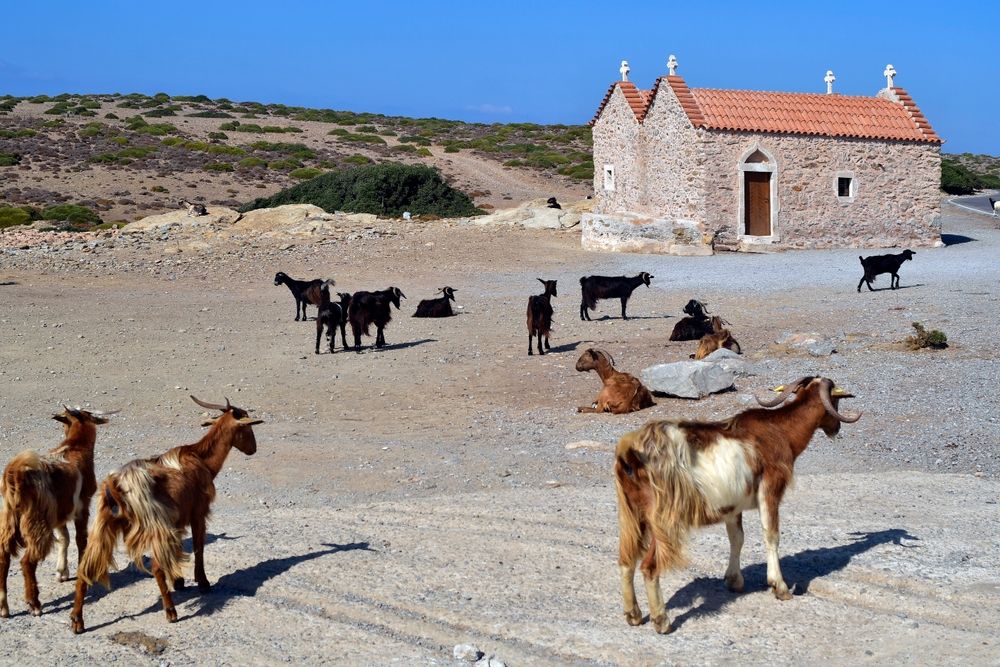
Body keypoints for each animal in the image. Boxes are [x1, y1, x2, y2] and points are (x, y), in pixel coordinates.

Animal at [0, 404, 112, 620]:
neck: (75, 447)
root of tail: (15, 476)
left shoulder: (60, 513)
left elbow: (64, 538)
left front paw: (62, 572)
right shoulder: (82, 506)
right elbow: (79, 539)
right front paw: (81, 570)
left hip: (9, 518)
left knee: (4, 556)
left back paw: (4, 607)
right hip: (36, 522)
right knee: (27, 561)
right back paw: (34, 604)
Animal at [72, 396, 264, 636]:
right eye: (247, 426)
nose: (253, 449)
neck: (201, 459)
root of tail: (117, 485)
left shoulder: (178, 521)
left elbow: (180, 548)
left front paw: (179, 581)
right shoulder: (198, 513)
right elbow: (198, 548)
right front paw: (202, 582)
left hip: (103, 525)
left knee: (85, 568)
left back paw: (77, 620)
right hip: (154, 525)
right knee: (156, 567)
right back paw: (171, 611)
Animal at [616, 378, 860, 636]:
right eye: (836, 399)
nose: (836, 428)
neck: (780, 430)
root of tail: (630, 453)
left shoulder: (732, 506)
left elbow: (737, 538)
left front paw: (734, 581)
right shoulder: (770, 489)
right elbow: (771, 535)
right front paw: (780, 587)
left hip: (632, 514)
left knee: (626, 561)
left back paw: (633, 615)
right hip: (663, 520)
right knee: (649, 567)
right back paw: (662, 621)